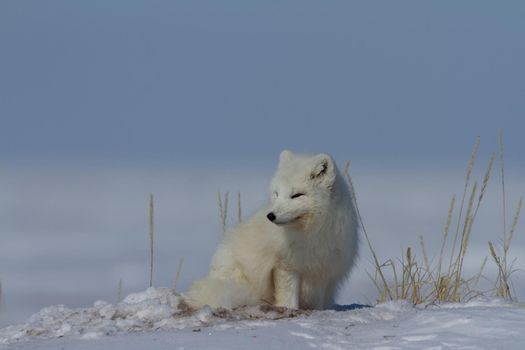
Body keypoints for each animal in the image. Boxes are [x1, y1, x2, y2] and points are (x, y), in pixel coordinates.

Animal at [186, 150, 358, 308]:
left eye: (297, 195)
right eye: (277, 193)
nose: (270, 215)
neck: (310, 232)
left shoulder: (323, 270)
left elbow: (317, 303)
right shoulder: (284, 266)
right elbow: (288, 298)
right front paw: (289, 309)